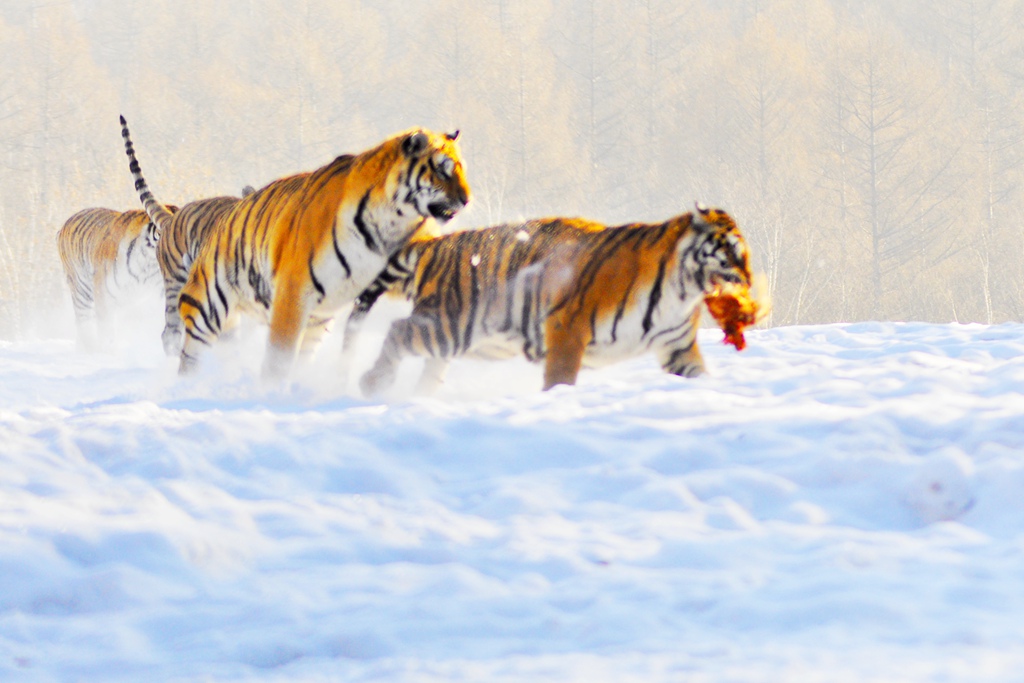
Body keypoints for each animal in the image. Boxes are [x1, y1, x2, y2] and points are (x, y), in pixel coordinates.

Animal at [58, 201, 179, 352]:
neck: (149, 262)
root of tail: (65, 224)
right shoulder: (103, 292)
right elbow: (106, 329)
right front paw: (107, 351)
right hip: (81, 289)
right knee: (84, 322)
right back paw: (90, 348)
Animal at [121, 115, 468, 382]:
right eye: (442, 169)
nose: (467, 199)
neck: (388, 222)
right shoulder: (293, 291)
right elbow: (279, 356)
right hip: (202, 295)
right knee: (186, 346)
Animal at [350, 204, 761, 395]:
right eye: (731, 251)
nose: (749, 280)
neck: (682, 290)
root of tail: (439, 244)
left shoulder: (678, 347)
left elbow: (698, 374)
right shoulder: (568, 325)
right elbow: (560, 377)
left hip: (478, 340)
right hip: (451, 325)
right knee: (397, 331)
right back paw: (373, 383)